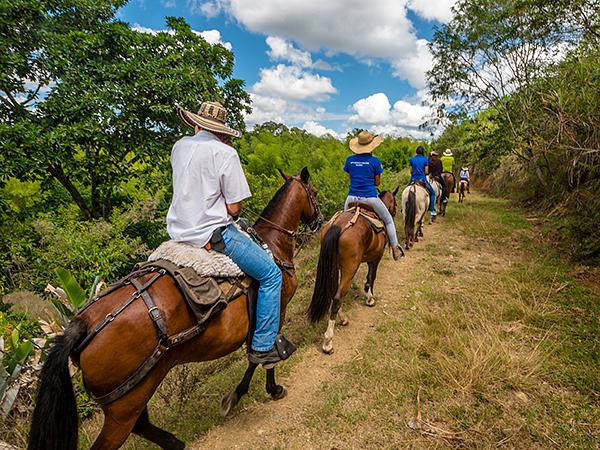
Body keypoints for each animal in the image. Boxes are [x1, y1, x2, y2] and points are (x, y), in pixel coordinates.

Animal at [27, 168, 324, 450]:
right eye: (315, 192)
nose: (319, 221)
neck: (271, 244)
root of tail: (82, 323)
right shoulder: (275, 308)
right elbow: (262, 357)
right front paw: (262, 391)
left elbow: (255, 356)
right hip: (125, 404)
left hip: (131, 395)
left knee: (142, 425)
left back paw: (174, 442)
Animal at [310, 188, 398, 354]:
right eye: (395, 201)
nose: (396, 211)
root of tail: (337, 226)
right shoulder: (375, 259)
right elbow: (371, 278)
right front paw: (370, 298)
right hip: (350, 268)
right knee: (337, 298)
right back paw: (328, 342)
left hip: (335, 268)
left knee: (334, 295)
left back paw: (343, 319)